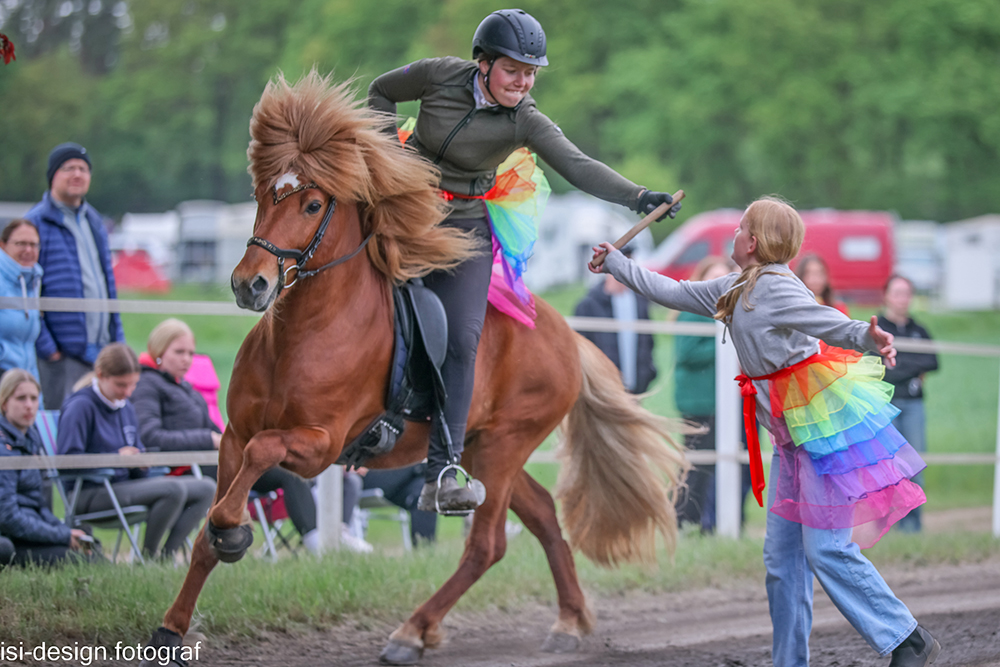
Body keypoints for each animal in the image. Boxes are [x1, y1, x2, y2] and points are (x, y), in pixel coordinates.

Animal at [150, 70, 688, 664]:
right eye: (264, 194)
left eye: (312, 205)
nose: (250, 284)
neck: (305, 333)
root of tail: (564, 334)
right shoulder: (232, 436)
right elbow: (209, 528)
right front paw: (172, 627)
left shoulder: (319, 444)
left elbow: (254, 467)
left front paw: (234, 532)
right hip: (481, 447)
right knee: (544, 515)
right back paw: (568, 621)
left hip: (505, 446)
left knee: (486, 545)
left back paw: (413, 630)